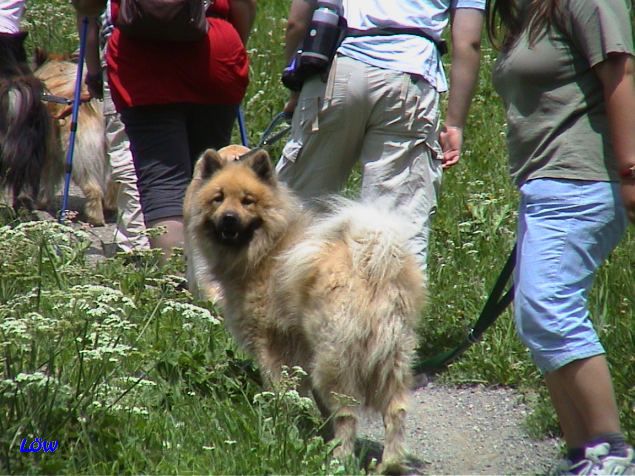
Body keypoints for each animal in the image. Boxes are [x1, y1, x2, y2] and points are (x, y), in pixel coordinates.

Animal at [184, 148, 428, 472]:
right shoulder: (302, 351)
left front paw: (282, 421)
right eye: (218, 198)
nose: (229, 219)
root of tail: (374, 265)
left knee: (348, 413)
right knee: (395, 410)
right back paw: (389, 463)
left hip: (334, 358)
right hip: (391, 358)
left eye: (247, 200)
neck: (266, 248)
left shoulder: (270, 344)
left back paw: (340, 459)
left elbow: (281, 388)